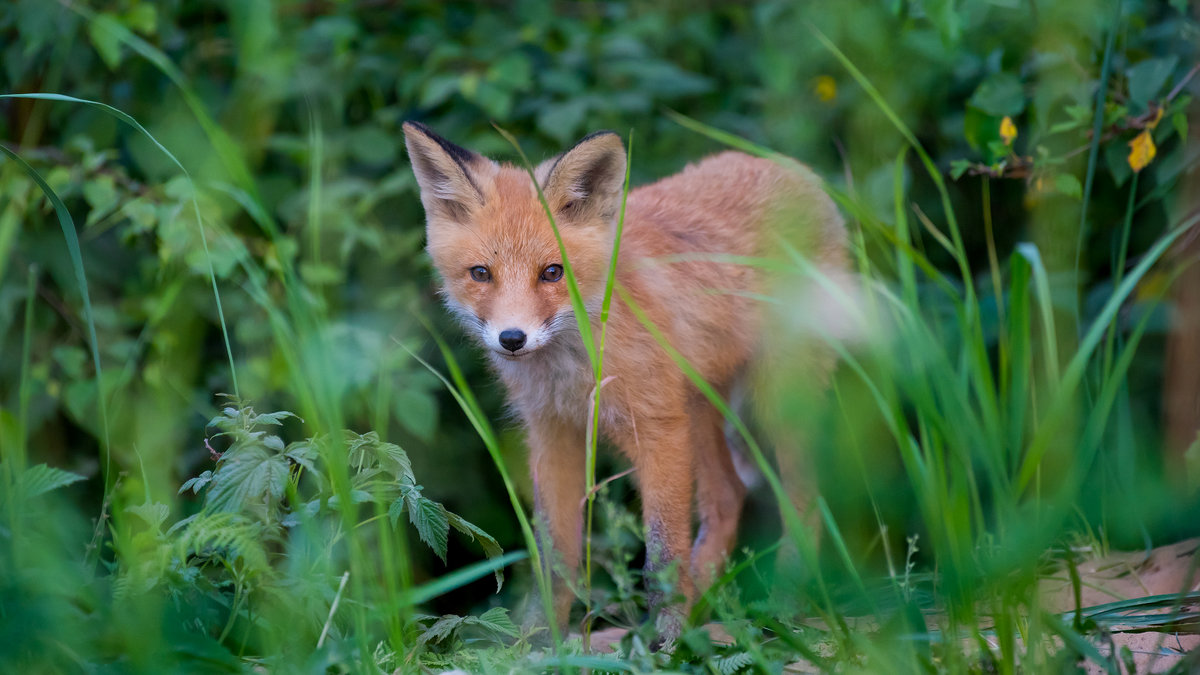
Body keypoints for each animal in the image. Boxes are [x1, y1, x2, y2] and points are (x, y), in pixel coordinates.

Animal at [405, 120, 854, 634]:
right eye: (481, 274)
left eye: (552, 273)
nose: (512, 338)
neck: (575, 372)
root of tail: (796, 170)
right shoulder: (553, 434)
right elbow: (554, 558)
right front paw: (539, 639)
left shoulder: (657, 429)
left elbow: (660, 555)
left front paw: (669, 639)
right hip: (700, 407)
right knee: (728, 496)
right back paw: (702, 606)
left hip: (774, 400)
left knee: (803, 499)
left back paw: (782, 605)